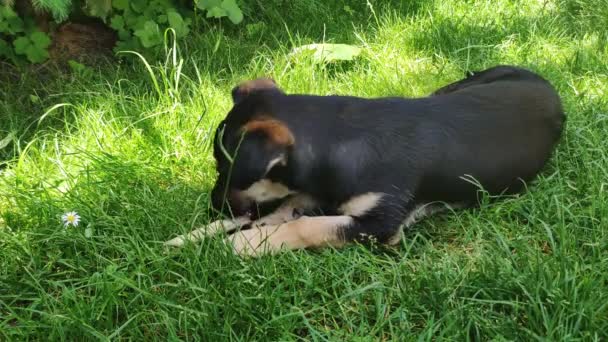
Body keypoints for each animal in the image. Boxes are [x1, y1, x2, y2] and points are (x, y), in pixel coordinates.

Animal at [165, 65, 564, 256]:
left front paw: (243, 245)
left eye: (225, 170)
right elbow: (276, 216)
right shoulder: (303, 198)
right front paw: (190, 238)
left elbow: (307, 226)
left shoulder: (381, 224)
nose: (213, 206)